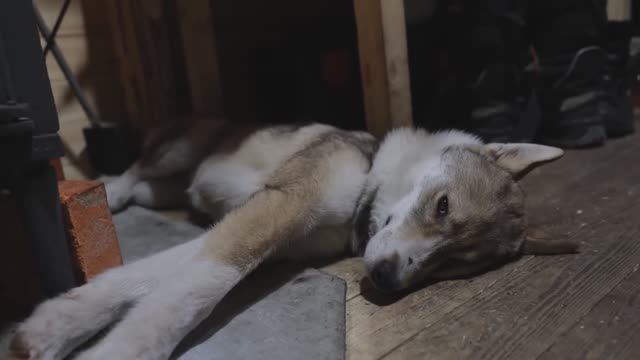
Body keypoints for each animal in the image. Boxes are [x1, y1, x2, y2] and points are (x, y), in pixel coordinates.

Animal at [6, 121, 576, 360]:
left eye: (454, 267)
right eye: (442, 206)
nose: (386, 278)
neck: (366, 180)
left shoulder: (263, 226)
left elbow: (157, 279)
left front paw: (53, 327)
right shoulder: (278, 208)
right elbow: (192, 293)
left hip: (178, 184)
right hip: (177, 153)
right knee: (134, 170)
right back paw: (109, 193)